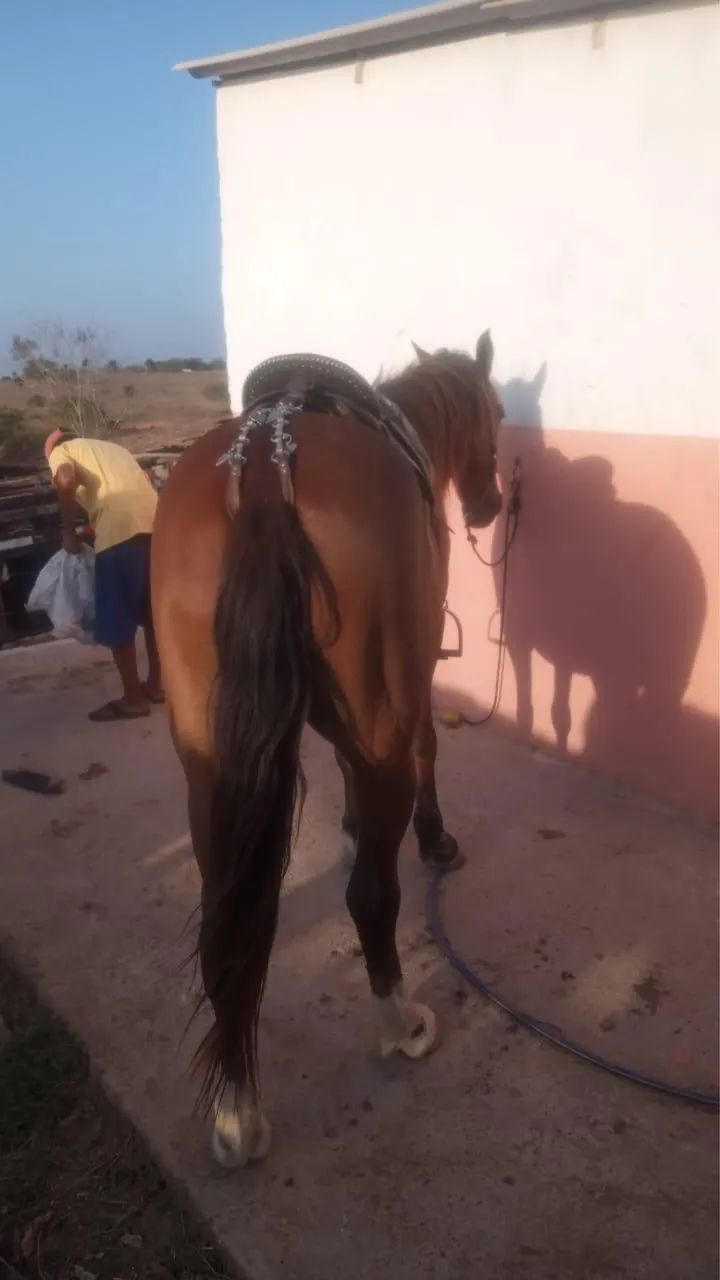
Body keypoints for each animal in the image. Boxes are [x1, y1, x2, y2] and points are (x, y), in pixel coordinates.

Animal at [151, 334, 504, 1167]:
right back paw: (399, 1023)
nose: (492, 504)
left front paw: (348, 833)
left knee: (226, 911)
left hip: (208, 760)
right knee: (371, 898)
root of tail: (263, 470)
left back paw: (238, 1111)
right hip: (376, 720)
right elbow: (428, 747)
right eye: (500, 415)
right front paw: (434, 841)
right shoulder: (409, 686)